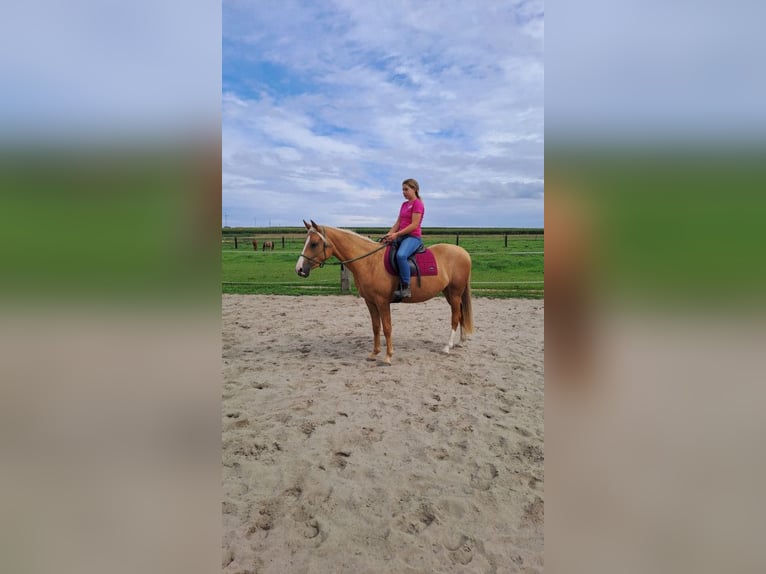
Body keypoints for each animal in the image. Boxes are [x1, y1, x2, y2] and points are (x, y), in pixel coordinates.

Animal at [295, 220, 473, 365]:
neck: (369, 262)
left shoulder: (382, 302)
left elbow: (387, 327)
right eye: (306, 241)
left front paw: (388, 356)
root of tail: (463, 252)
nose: (299, 269)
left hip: (455, 292)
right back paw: (461, 342)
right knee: (460, 314)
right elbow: (376, 327)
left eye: (314, 243)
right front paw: (374, 354)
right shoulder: (370, 301)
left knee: (455, 316)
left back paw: (447, 346)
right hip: (449, 293)